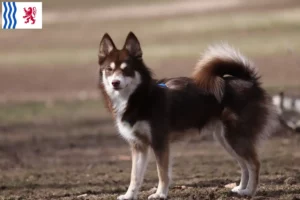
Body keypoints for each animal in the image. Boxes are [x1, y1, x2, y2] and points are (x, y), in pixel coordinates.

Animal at [97, 32, 278, 199]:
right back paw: (240, 189)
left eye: (126, 69)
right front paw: (129, 195)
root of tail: (249, 81)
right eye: (109, 70)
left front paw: (160, 194)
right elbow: (135, 176)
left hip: (235, 137)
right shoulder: (138, 146)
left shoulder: (160, 143)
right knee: (244, 165)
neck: (140, 97)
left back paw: (249, 191)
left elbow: (162, 173)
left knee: (254, 164)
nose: (115, 83)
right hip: (226, 140)